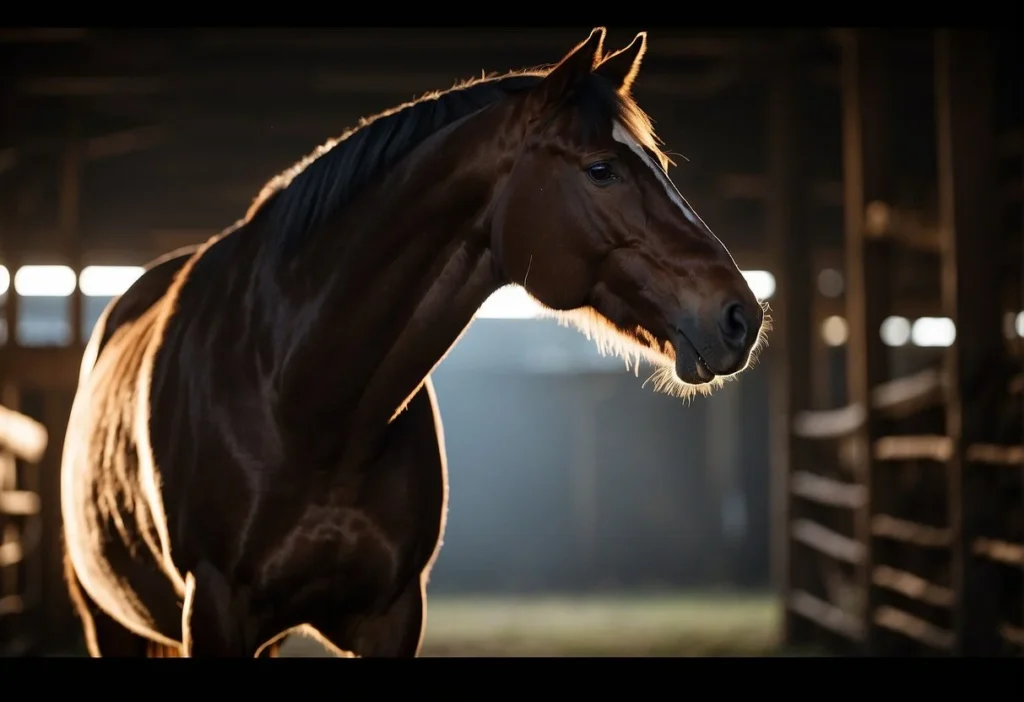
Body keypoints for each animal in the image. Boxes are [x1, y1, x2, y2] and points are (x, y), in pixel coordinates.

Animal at [59, 24, 770, 659]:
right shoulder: (214, 611)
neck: (302, 398)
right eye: (602, 169)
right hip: (109, 621)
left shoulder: (393, 615)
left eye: (660, 166)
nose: (740, 315)